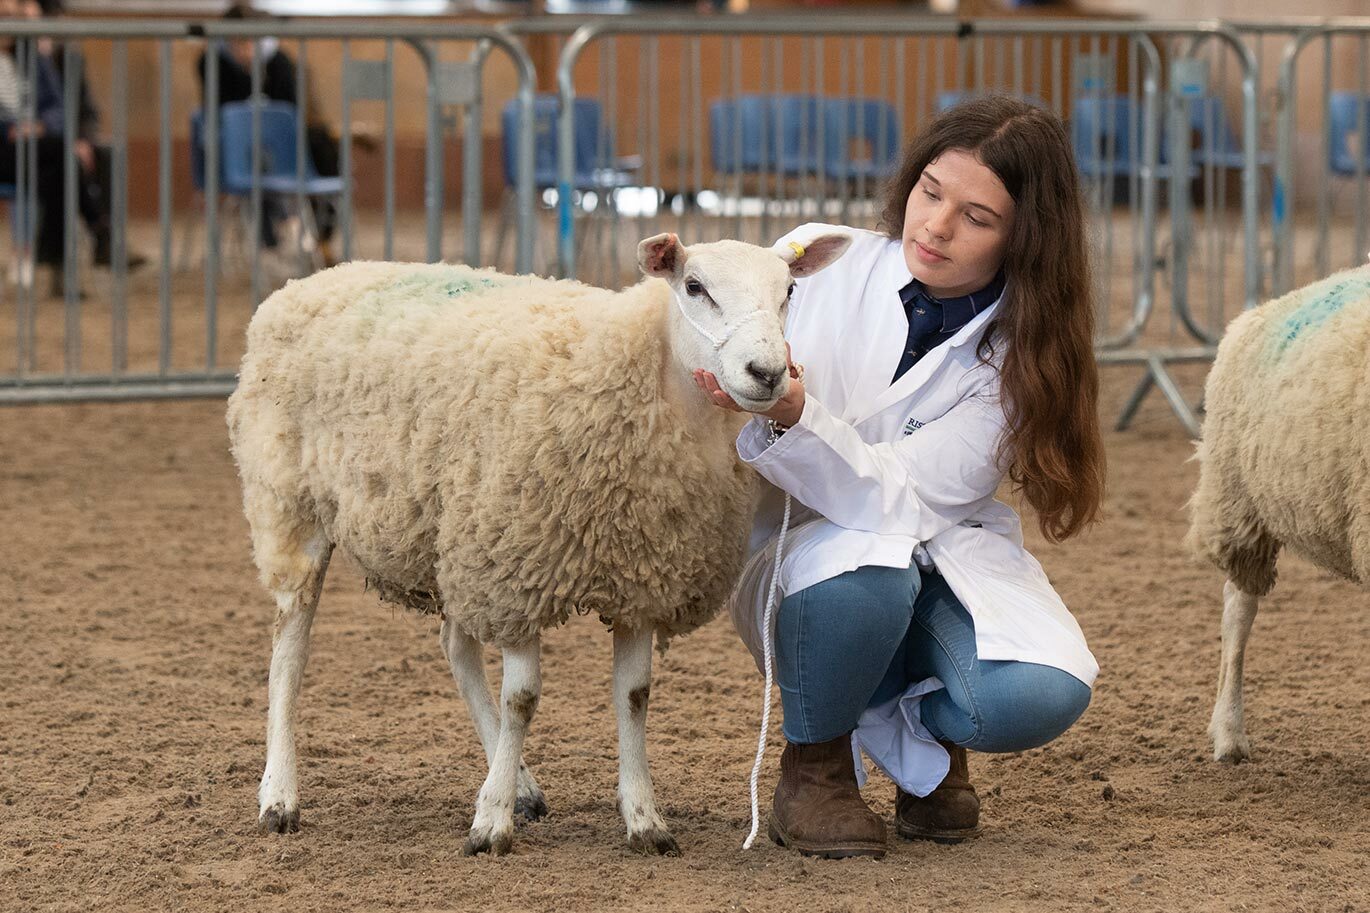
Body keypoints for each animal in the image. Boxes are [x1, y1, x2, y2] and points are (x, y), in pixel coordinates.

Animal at [225, 230, 852, 855]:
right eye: (695, 287)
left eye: (789, 291)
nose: (767, 373)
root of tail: (307, 283)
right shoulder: (518, 567)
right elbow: (522, 699)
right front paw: (491, 823)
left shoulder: (640, 575)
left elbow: (635, 695)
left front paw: (643, 818)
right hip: (293, 507)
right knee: (289, 651)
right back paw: (279, 797)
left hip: (455, 532)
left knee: (455, 648)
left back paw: (521, 787)